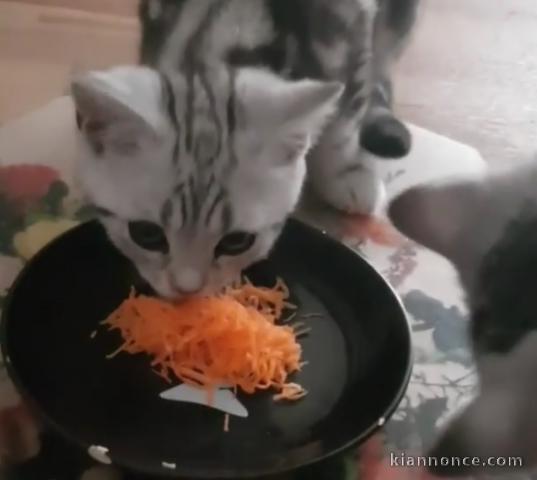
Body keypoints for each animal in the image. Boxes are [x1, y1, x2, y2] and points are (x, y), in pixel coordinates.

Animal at [71, 0, 416, 300]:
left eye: (237, 242)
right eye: (146, 234)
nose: (187, 289)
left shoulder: (348, 19)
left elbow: (348, 102)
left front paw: (345, 171)